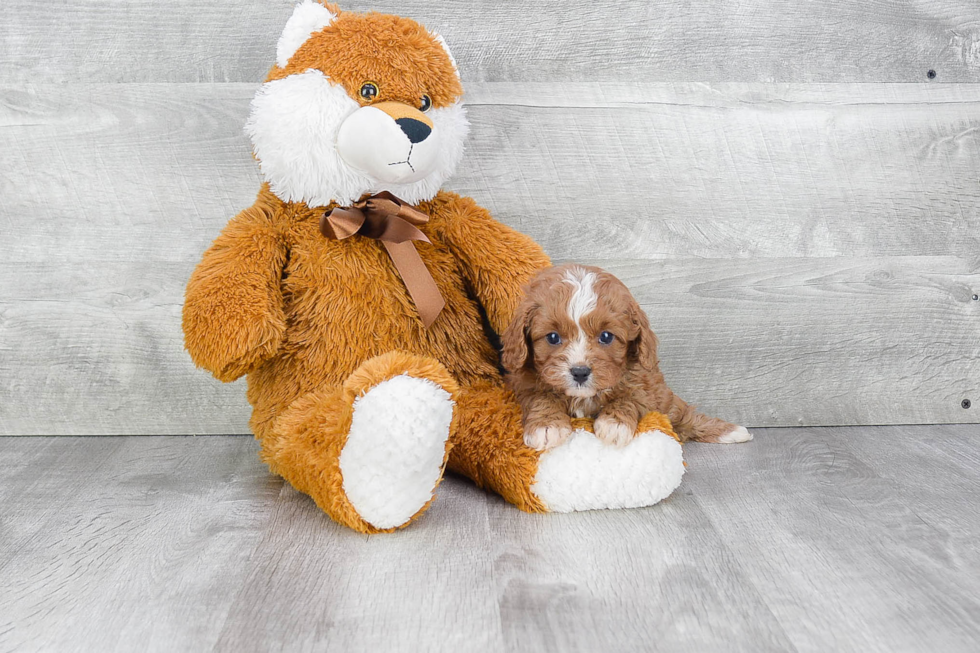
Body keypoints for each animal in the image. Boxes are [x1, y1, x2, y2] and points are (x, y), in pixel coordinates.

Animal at [502, 262, 756, 450]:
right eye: (553, 337)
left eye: (606, 336)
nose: (580, 372)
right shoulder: (524, 383)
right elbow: (541, 397)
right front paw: (547, 426)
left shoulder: (643, 383)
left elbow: (629, 398)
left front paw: (614, 424)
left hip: (666, 401)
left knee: (685, 416)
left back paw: (733, 432)